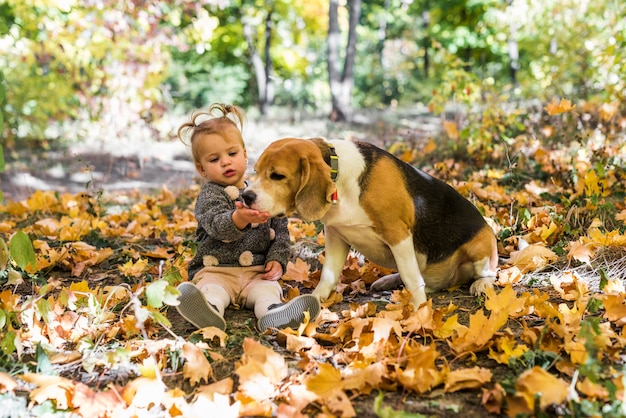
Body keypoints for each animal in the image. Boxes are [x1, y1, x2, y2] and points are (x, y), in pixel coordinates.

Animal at [240, 139, 498, 308]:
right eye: (256, 171)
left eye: (278, 176)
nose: (246, 196)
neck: (340, 180)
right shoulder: (336, 234)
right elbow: (328, 275)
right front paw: (314, 299)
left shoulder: (398, 234)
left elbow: (411, 278)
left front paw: (419, 310)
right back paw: (388, 281)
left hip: (481, 245)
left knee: (488, 273)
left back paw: (481, 284)